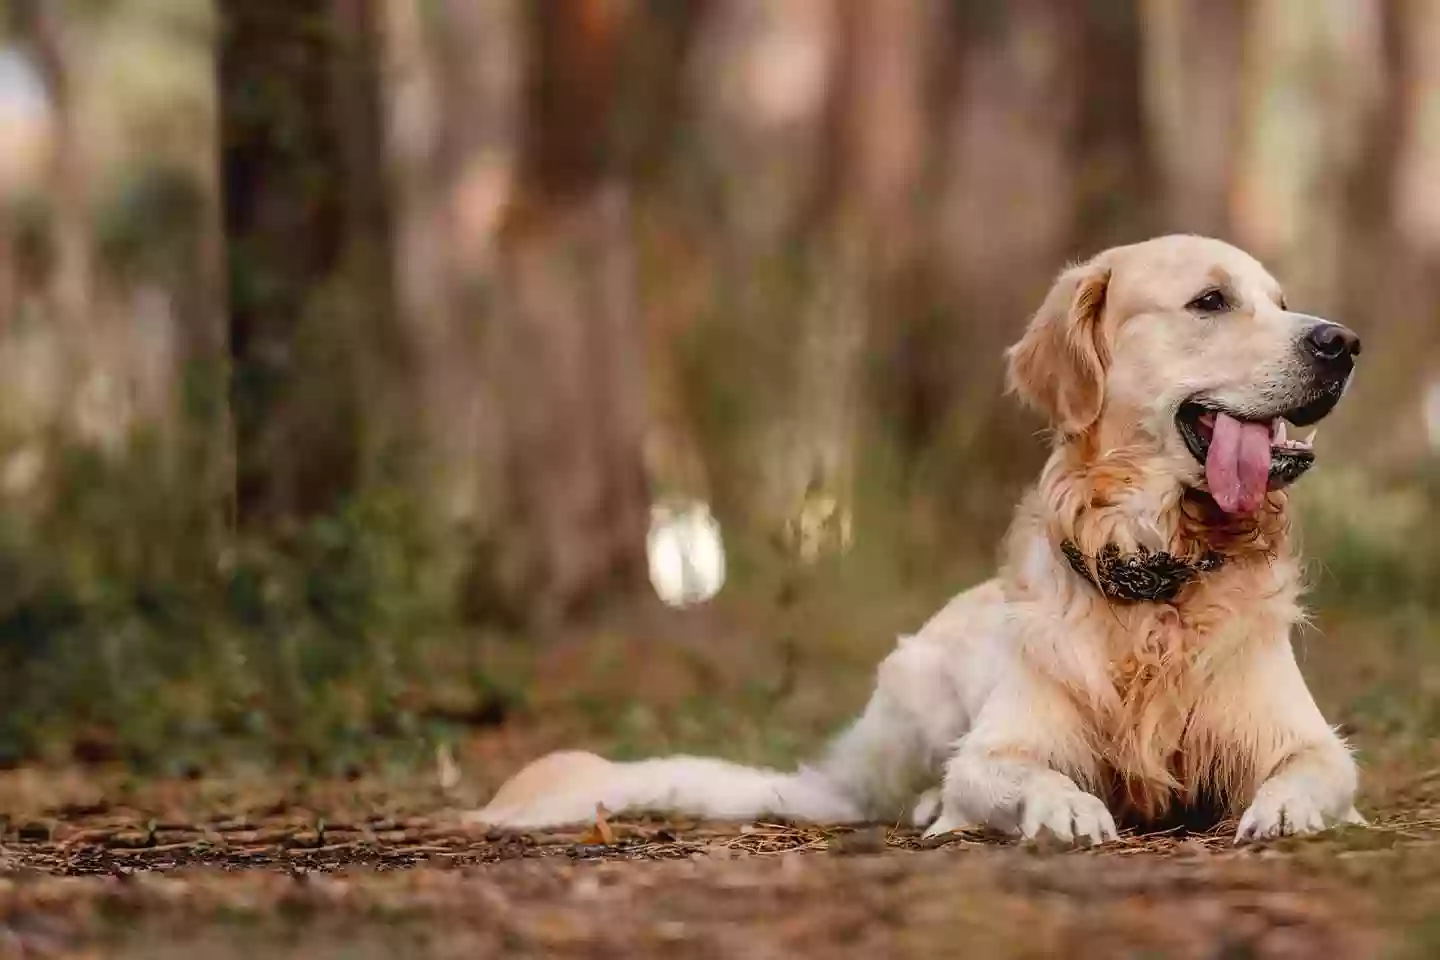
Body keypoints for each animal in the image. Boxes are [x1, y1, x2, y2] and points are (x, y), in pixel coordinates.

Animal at [478, 236, 1365, 846]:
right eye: (1211, 301)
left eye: (1280, 300)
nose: (1342, 341)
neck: (1154, 572)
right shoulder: (995, 747)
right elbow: (1019, 774)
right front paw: (1066, 808)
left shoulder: (1309, 741)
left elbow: (1315, 771)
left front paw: (1284, 811)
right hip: (916, 688)